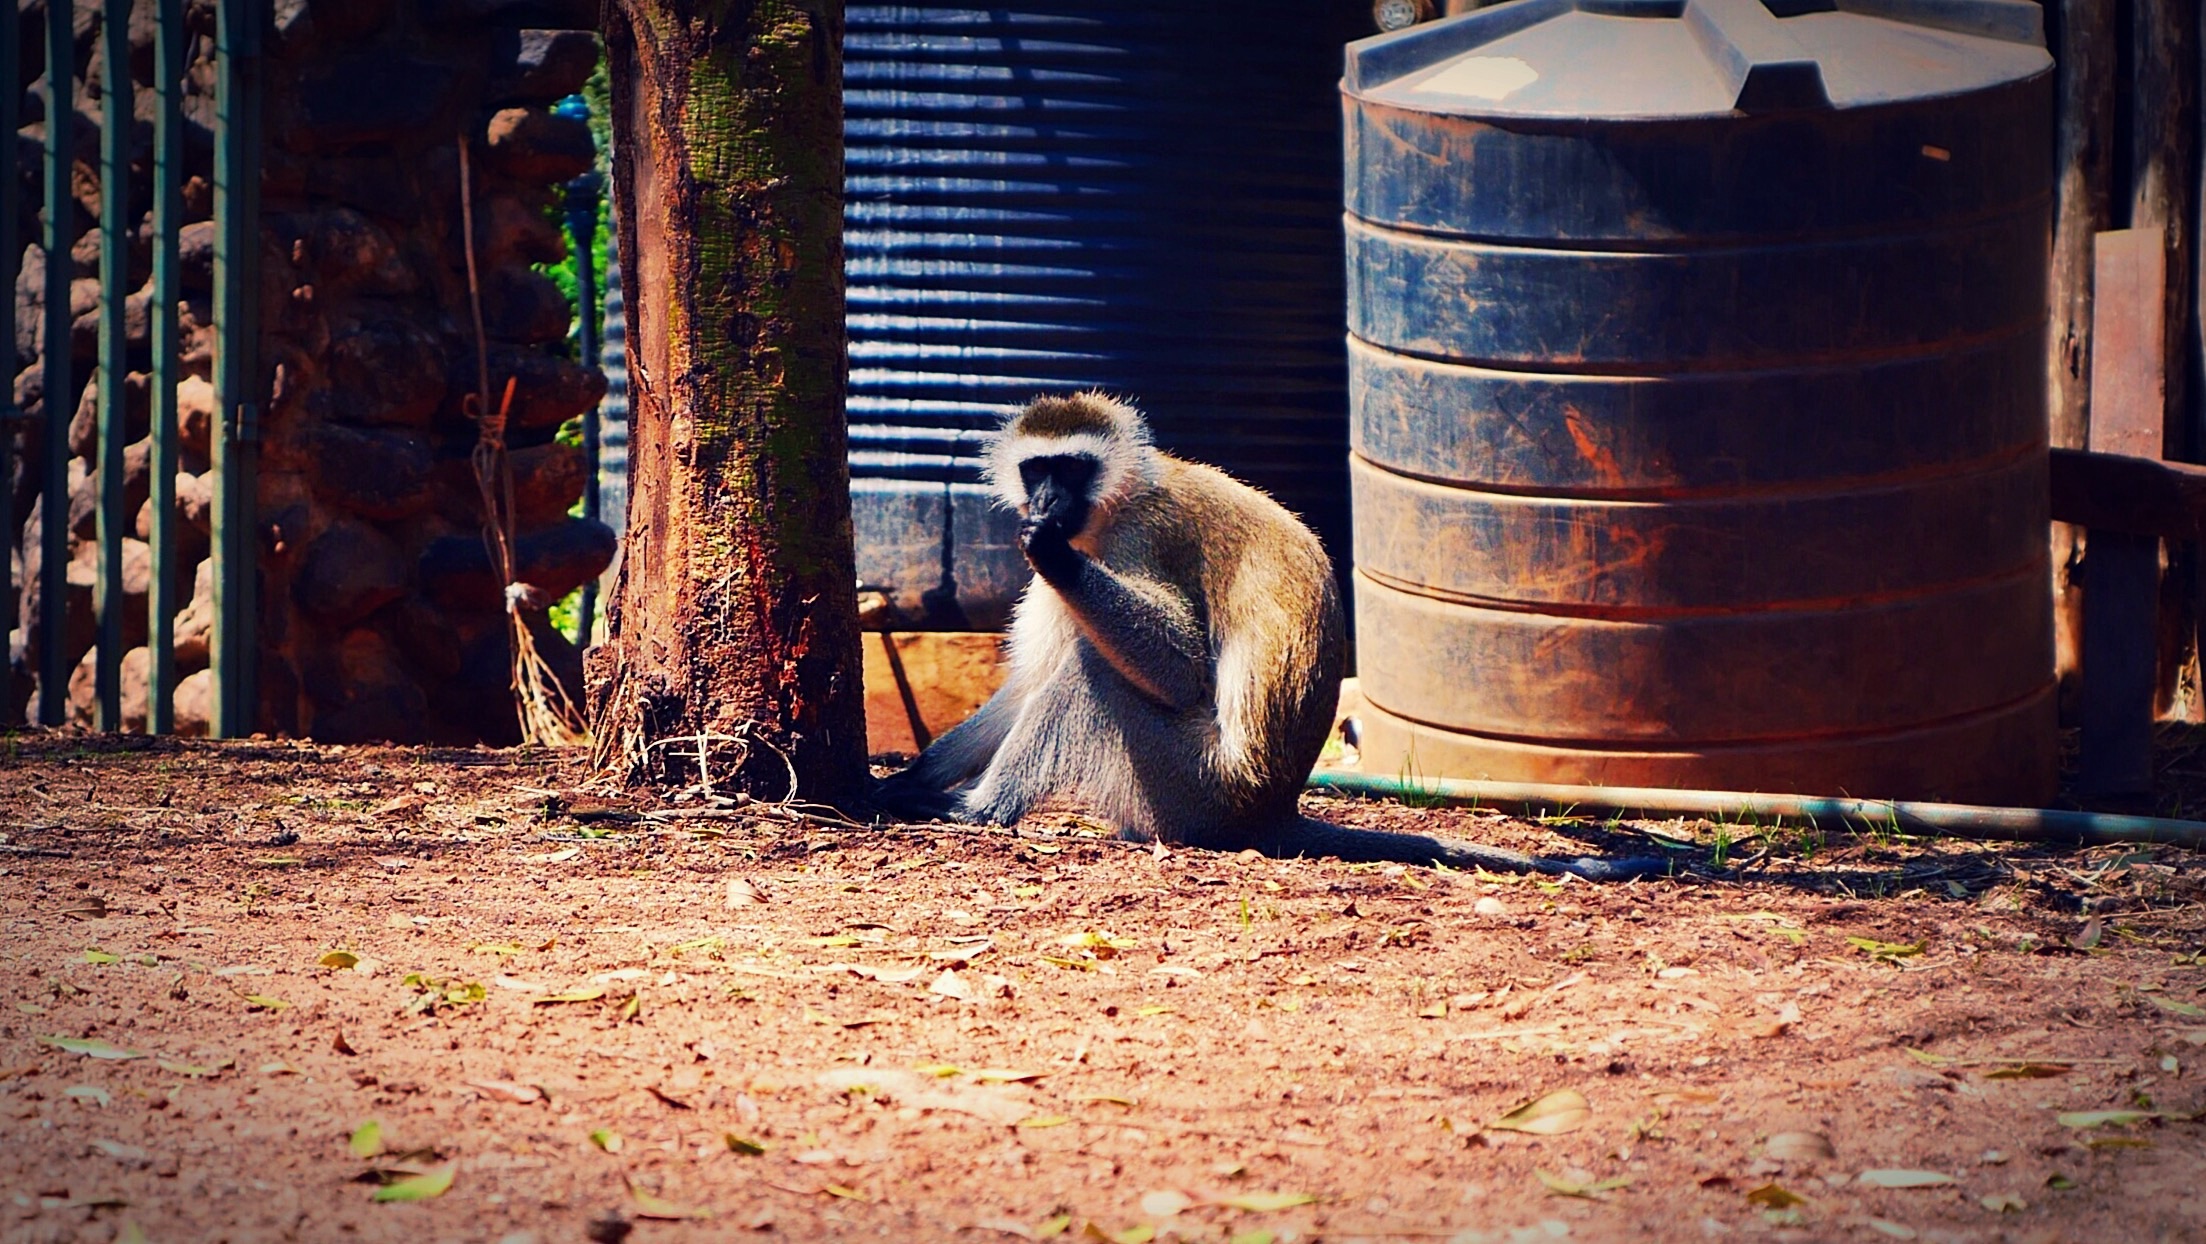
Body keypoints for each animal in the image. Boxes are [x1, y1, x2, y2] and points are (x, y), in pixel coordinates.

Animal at [869, 392, 1658, 877]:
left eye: (1072, 468)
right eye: (1038, 467)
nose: (1047, 501)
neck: (1115, 502)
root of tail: (1272, 806)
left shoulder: (1139, 542)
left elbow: (1179, 668)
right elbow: (1019, 689)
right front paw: (908, 776)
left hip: (1191, 789)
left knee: (1091, 672)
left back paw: (981, 811)